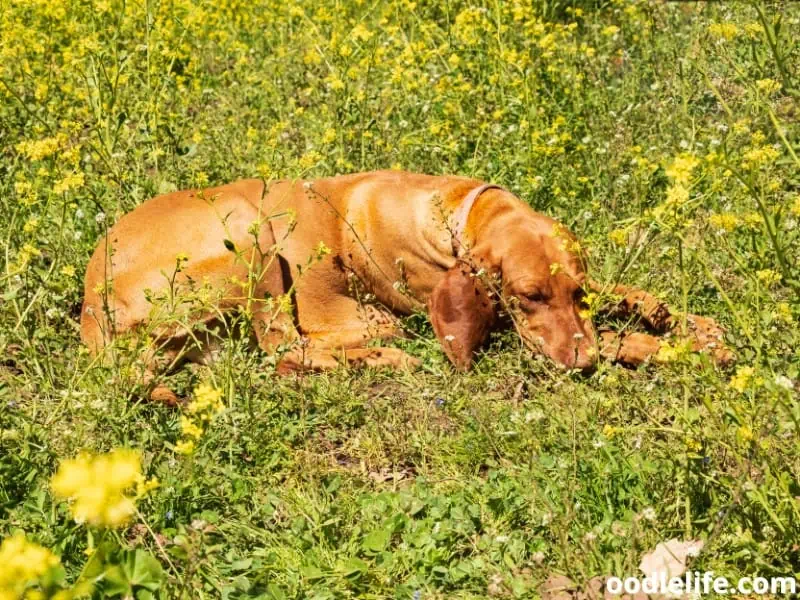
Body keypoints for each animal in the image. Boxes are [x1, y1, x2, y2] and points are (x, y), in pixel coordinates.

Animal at [79, 170, 724, 404]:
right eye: (530, 297)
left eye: (576, 293)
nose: (581, 365)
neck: (462, 209)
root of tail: (91, 302)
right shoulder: (501, 329)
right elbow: (613, 336)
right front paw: (667, 347)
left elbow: (621, 295)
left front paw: (679, 319)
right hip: (251, 232)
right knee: (283, 349)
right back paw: (383, 358)